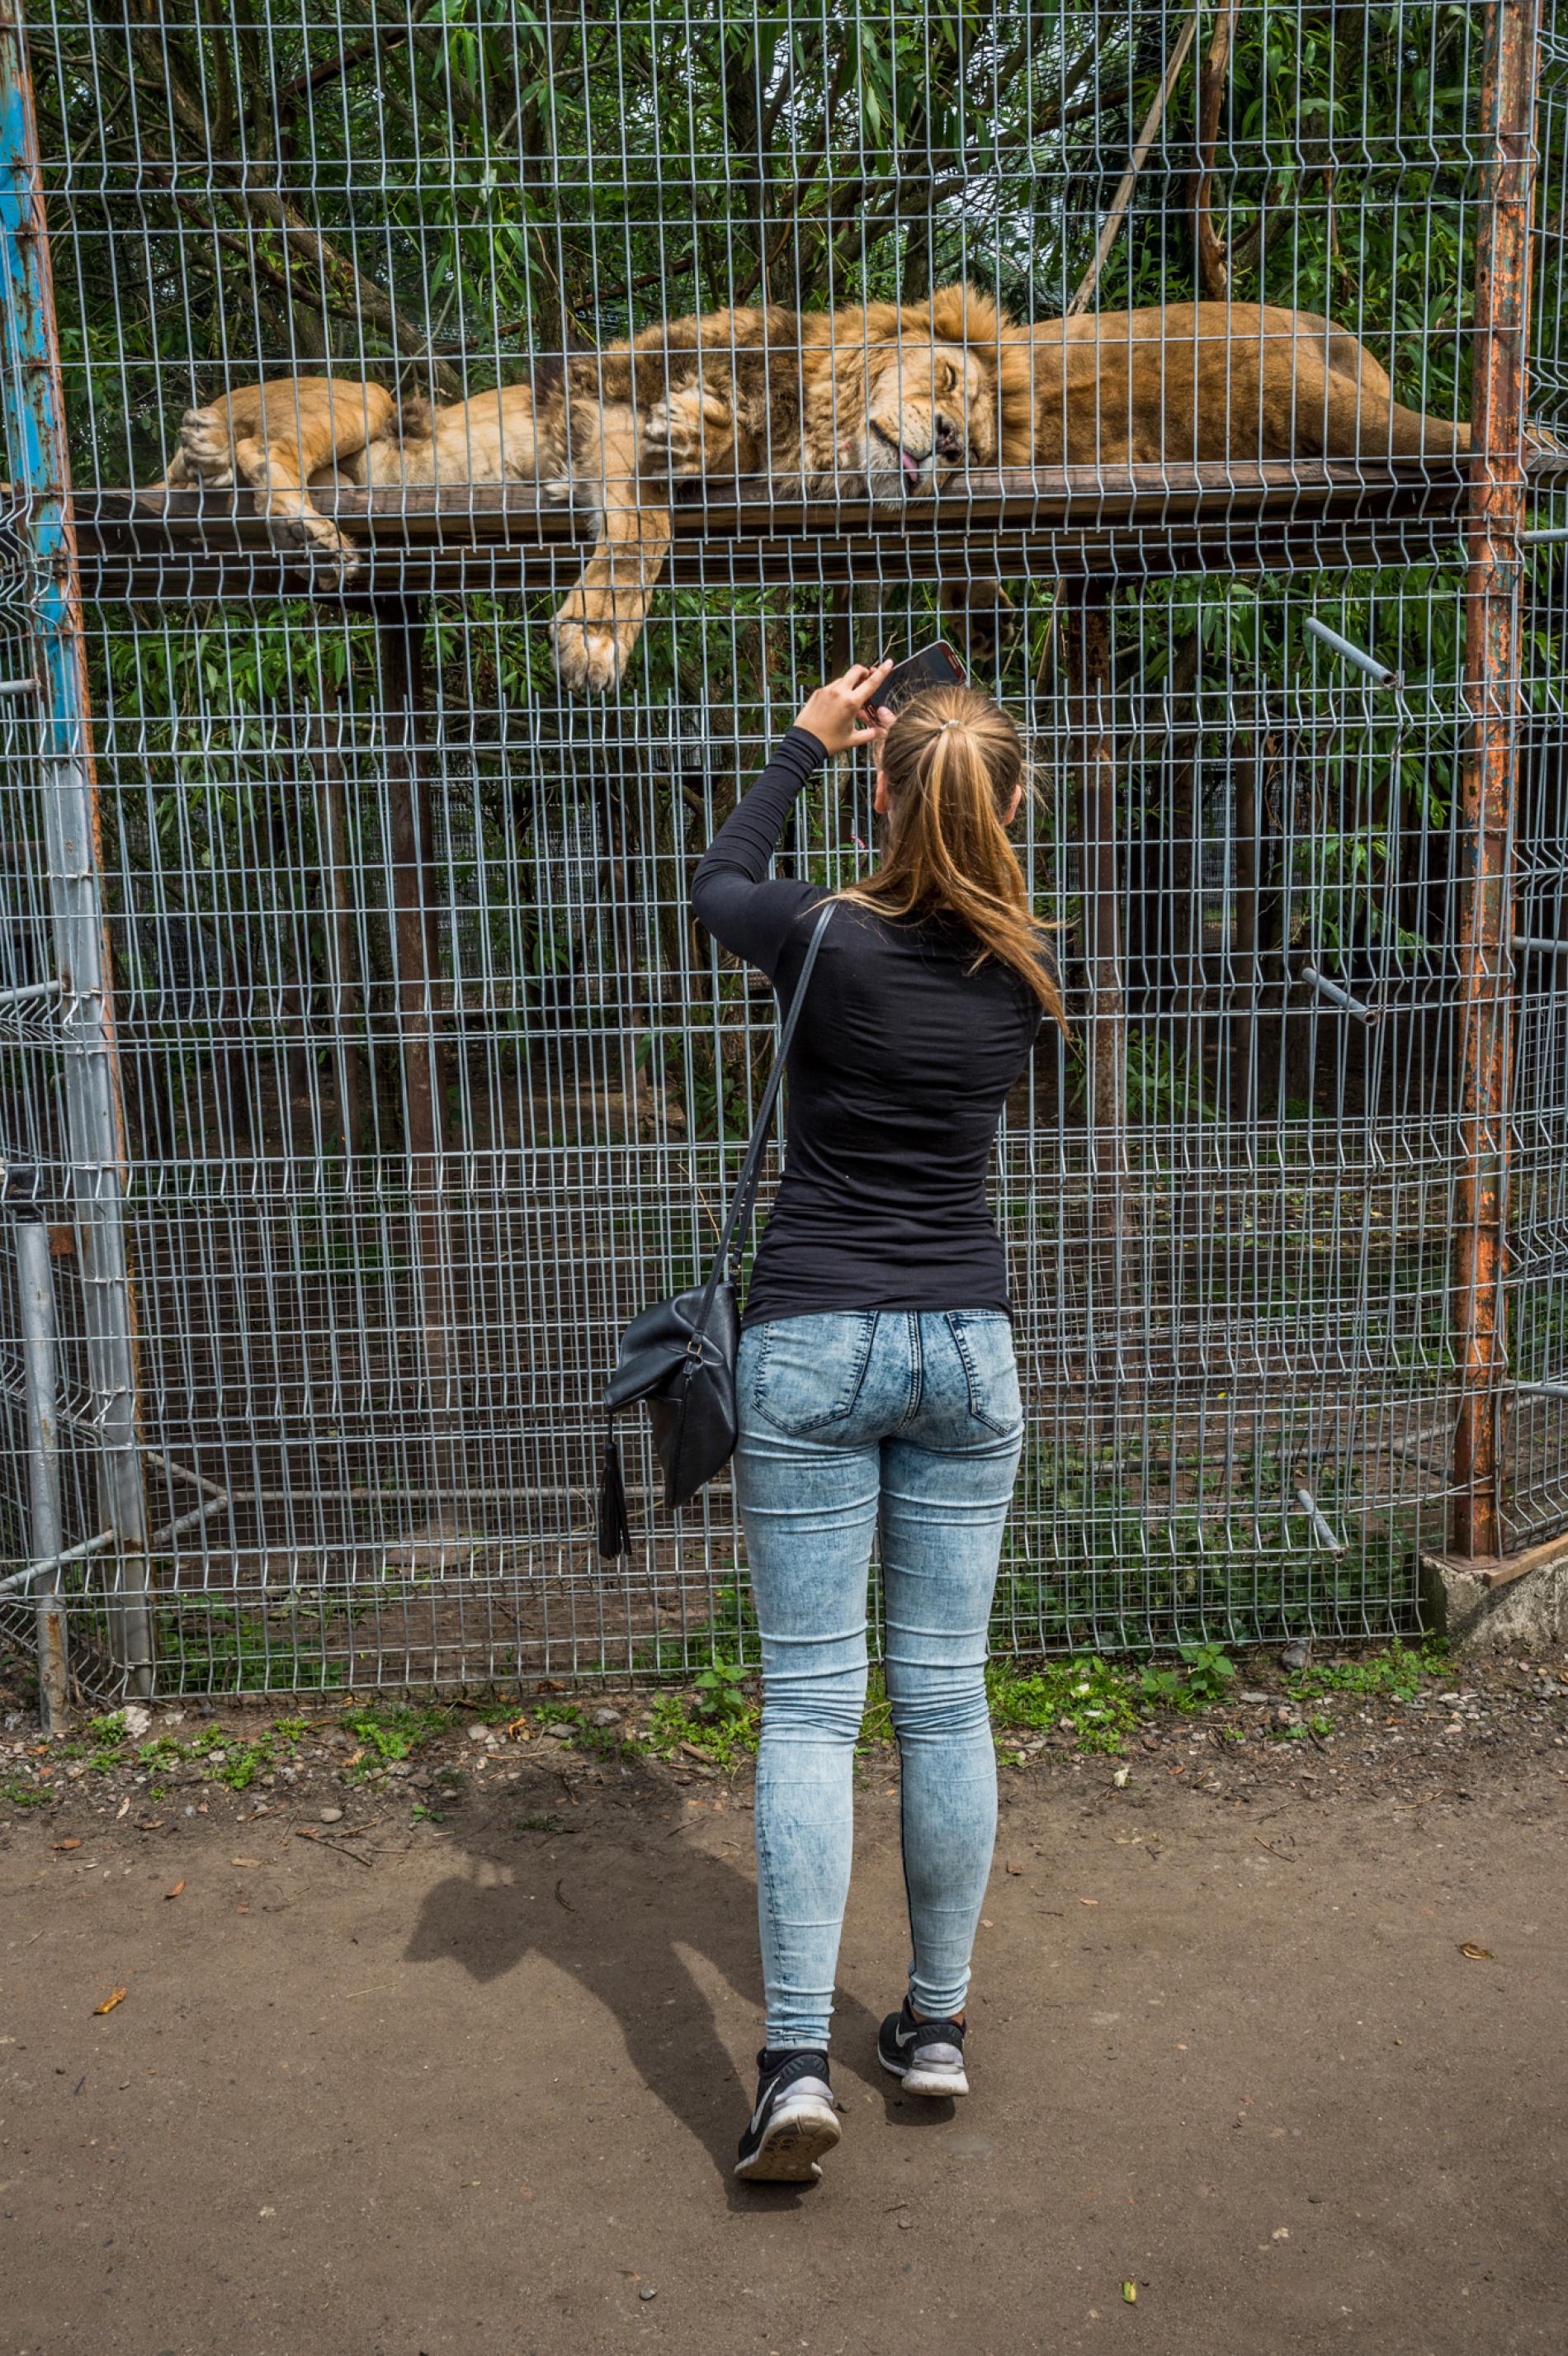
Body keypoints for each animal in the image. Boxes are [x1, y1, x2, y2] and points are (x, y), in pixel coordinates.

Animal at [155, 283, 1003, 688]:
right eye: (947, 378)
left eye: (977, 448)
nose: (950, 441)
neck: (817, 432)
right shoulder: (610, 421)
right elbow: (645, 535)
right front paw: (594, 638)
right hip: (366, 397)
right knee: (264, 448)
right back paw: (296, 522)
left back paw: (224, 471)